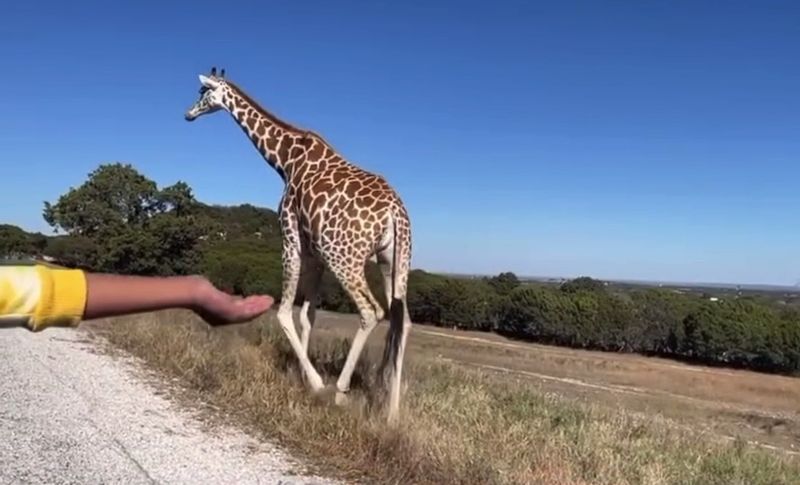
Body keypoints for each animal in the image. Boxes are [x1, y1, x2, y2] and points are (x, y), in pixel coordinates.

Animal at [184, 67, 413, 423]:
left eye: (202, 92)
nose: (188, 114)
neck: (285, 159)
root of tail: (395, 212)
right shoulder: (314, 253)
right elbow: (308, 315)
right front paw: (301, 375)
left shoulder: (290, 235)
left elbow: (283, 312)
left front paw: (315, 383)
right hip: (394, 261)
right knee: (402, 321)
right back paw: (391, 411)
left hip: (344, 258)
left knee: (371, 311)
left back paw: (340, 391)